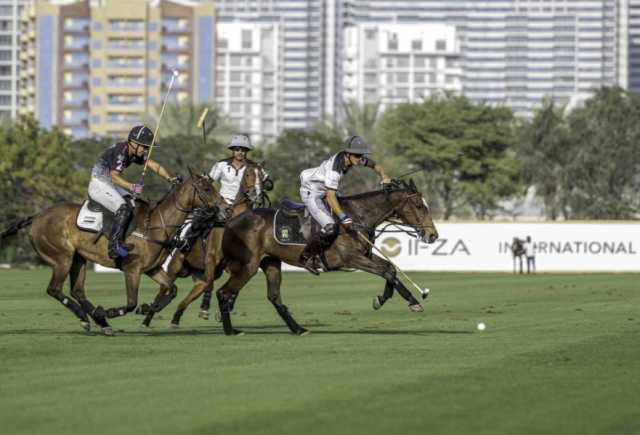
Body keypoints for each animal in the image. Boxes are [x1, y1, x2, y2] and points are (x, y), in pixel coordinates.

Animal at [0, 175, 226, 338]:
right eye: (207, 189)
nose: (224, 208)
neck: (156, 226)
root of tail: (37, 216)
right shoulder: (131, 269)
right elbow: (131, 302)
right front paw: (112, 311)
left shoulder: (152, 269)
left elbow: (171, 290)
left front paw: (147, 309)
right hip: (62, 258)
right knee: (54, 289)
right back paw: (90, 317)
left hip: (78, 258)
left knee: (77, 290)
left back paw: (100, 321)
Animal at [210, 179, 440, 336]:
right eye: (419, 206)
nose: (433, 235)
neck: (355, 219)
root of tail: (229, 222)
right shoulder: (351, 258)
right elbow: (386, 271)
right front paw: (408, 301)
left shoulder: (365, 254)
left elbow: (390, 269)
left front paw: (388, 300)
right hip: (247, 265)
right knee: (223, 292)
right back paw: (231, 331)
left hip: (271, 262)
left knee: (274, 296)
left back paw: (298, 329)